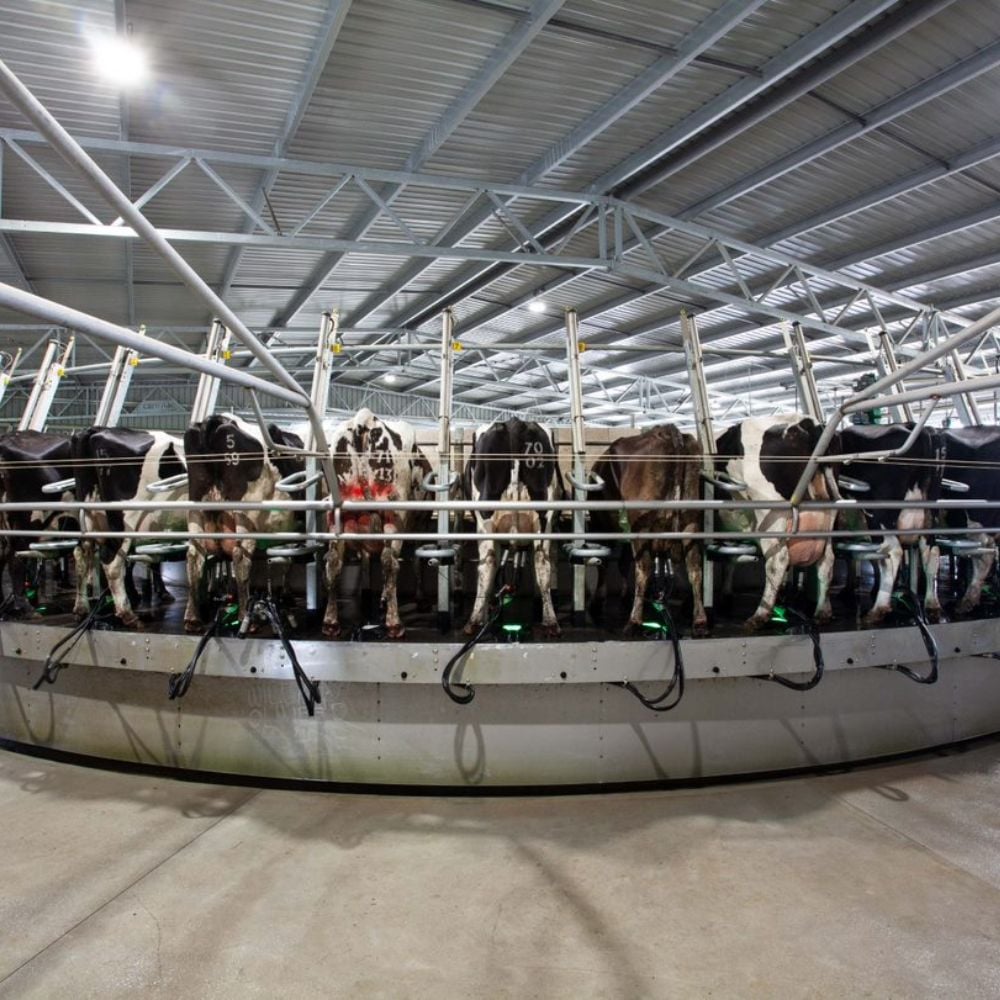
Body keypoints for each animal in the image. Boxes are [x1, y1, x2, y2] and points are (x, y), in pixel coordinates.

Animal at [72, 426, 188, 628]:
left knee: (81, 553)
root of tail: (97, 431)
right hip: (125, 520)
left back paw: (81, 608)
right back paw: (128, 614)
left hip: (88, 517)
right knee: (112, 562)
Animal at [320, 408, 430, 636]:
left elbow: (366, 562)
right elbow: (416, 562)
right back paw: (394, 623)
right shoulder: (419, 526)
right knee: (390, 561)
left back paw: (330, 622)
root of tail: (364, 420)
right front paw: (418, 599)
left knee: (333, 561)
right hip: (394, 513)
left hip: (338, 516)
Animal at [460, 416, 564, 636]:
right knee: (542, 563)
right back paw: (551, 621)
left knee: (488, 562)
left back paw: (474, 620)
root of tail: (515, 423)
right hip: (543, 518)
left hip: (485, 519)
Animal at [588, 422, 708, 632]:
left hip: (641, 525)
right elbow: (623, 562)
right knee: (694, 567)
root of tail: (667, 431)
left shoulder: (602, 525)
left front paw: (597, 605)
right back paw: (699, 620)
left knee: (644, 568)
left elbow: (605, 563)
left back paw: (634, 621)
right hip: (691, 521)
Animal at [840, 422, 940, 624]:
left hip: (880, 515)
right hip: (929, 512)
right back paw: (932, 604)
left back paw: (878, 608)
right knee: (930, 550)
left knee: (892, 552)